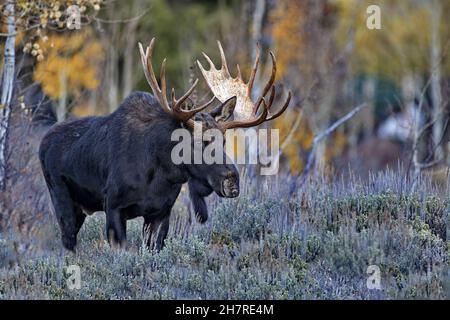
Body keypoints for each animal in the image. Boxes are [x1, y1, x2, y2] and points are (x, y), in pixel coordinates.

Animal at [39, 38, 292, 251]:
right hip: (61, 198)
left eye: (223, 141)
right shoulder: (113, 206)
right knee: (68, 244)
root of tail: (43, 141)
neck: (161, 174)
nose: (232, 181)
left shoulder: (161, 212)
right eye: (200, 141)